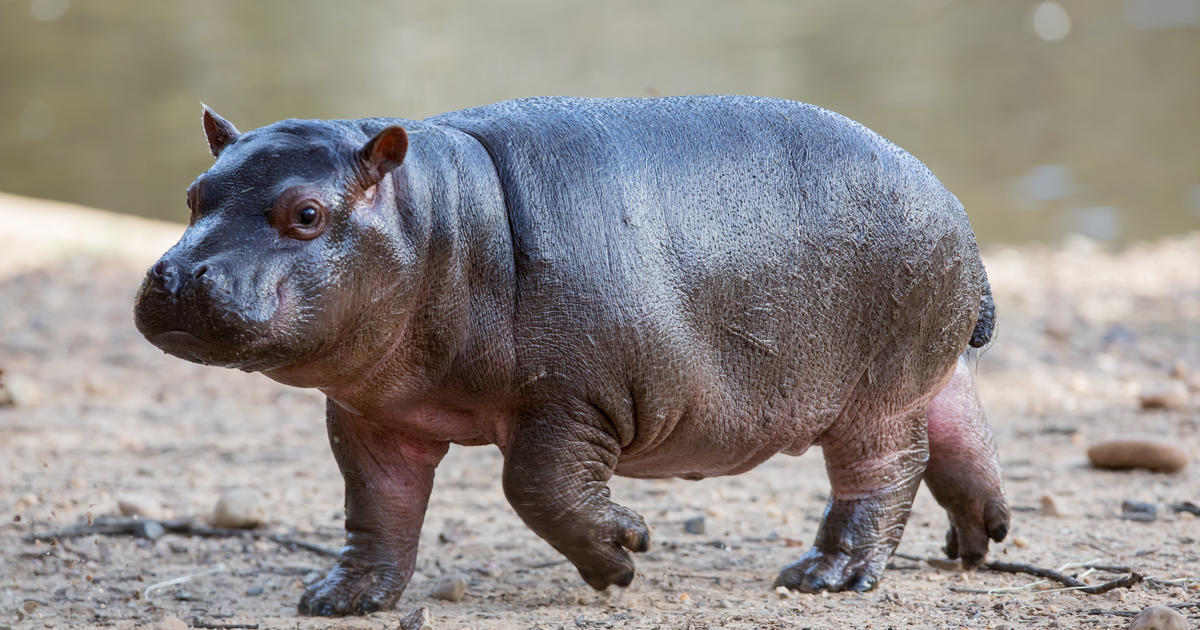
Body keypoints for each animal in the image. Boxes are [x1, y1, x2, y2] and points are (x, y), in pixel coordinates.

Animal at [134, 96, 1009, 616]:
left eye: (308, 213)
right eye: (195, 195)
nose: (175, 277)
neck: (441, 222)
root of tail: (952, 200)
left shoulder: (572, 398)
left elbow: (536, 487)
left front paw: (622, 555)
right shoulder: (373, 415)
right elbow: (377, 505)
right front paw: (338, 597)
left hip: (876, 389)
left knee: (884, 469)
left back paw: (825, 576)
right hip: (926, 369)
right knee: (960, 427)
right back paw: (976, 540)